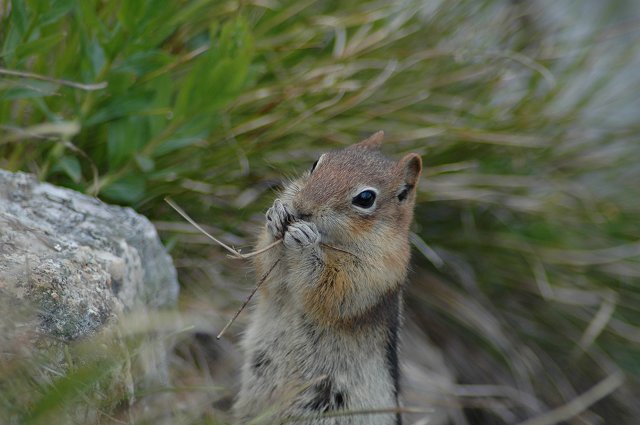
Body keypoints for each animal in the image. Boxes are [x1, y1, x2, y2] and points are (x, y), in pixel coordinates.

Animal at [233, 131, 422, 425]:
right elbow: (268, 274)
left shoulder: (374, 273)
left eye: (365, 198)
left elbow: (332, 292)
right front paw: (277, 218)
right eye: (315, 164)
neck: (332, 242)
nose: (301, 207)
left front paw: (305, 241)